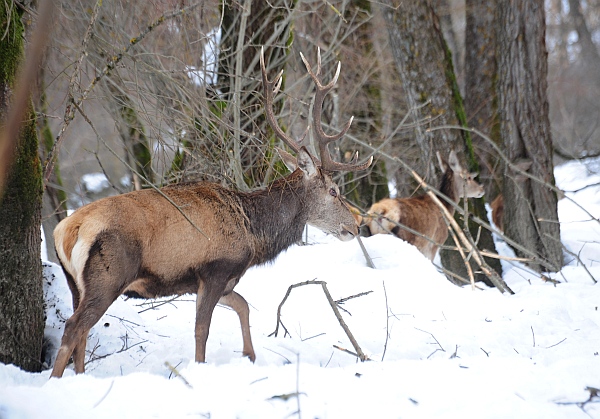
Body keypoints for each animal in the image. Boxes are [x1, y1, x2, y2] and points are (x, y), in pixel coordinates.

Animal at [50, 47, 370, 378]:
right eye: (333, 191)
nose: (355, 226)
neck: (253, 233)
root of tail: (67, 231)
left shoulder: (217, 280)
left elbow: (243, 304)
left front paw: (250, 356)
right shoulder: (215, 268)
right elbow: (202, 328)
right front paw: (202, 366)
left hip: (75, 282)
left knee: (82, 330)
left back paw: (80, 375)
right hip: (109, 274)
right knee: (74, 326)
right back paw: (57, 379)